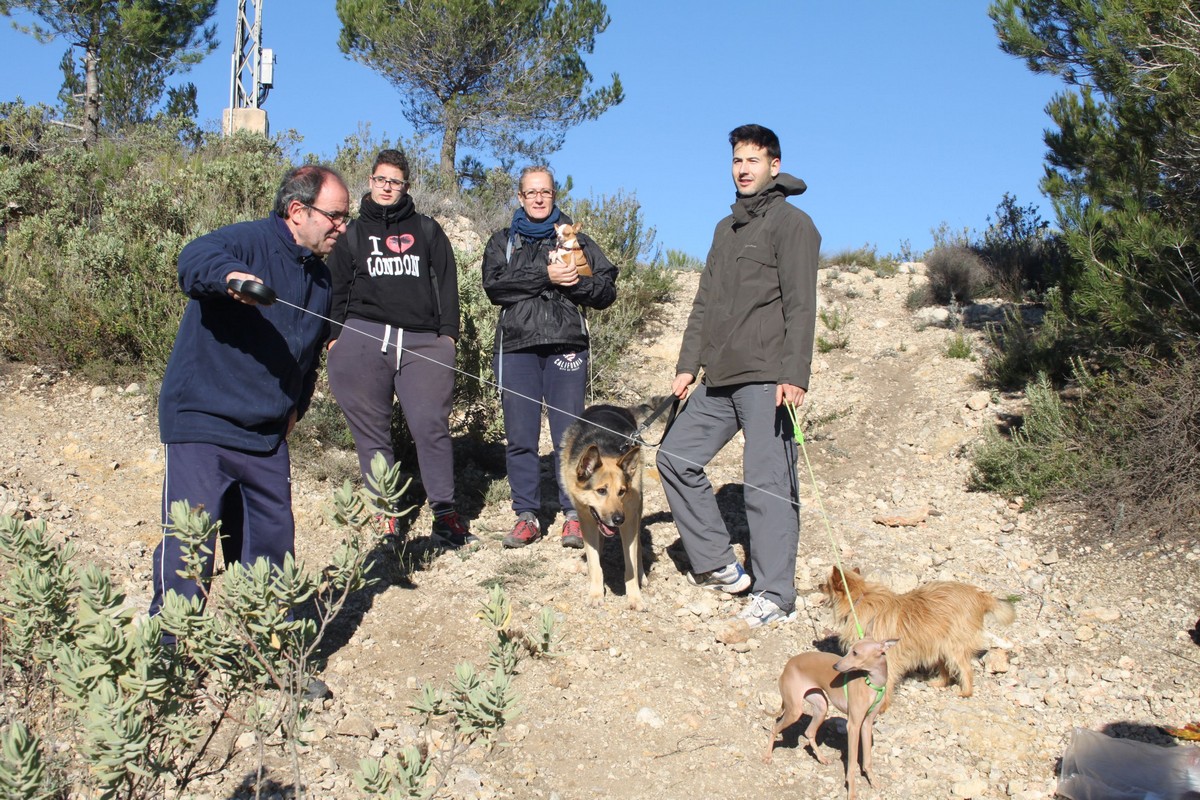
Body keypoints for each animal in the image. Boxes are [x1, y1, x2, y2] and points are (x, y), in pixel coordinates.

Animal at [560, 404, 644, 610]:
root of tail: (609, 405)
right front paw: (596, 593)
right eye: (601, 491)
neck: (605, 452)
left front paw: (635, 597)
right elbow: (594, 561)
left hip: (637, 510)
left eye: (622, 491)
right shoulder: (587, 520)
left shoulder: (629, 521)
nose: (618, 519)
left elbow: (631, 562)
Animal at [764, 638, 897, 800]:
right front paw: (851, 792)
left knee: (809, 732)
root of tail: (788, 664)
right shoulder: (853, 726)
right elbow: (851, 764)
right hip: (794, 711)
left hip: (821, 706)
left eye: (855, 652)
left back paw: (821, 758)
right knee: (774, 727)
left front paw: (874, 782)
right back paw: (768, 756)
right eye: (849, 649)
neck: (871, 683)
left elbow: (867, 760)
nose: (836, 666)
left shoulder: (866, 724)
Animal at [820, 566, 1015, 710]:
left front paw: (881, 706)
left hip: (953, 645)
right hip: (938, 643)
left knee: (965, 669)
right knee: (945, 668)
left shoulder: (888, 657)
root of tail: (980, 595)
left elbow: (887, 682)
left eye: (828, 584)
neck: (860, 599)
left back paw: (965, 692)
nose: (819, 585)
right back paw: (939, 683)